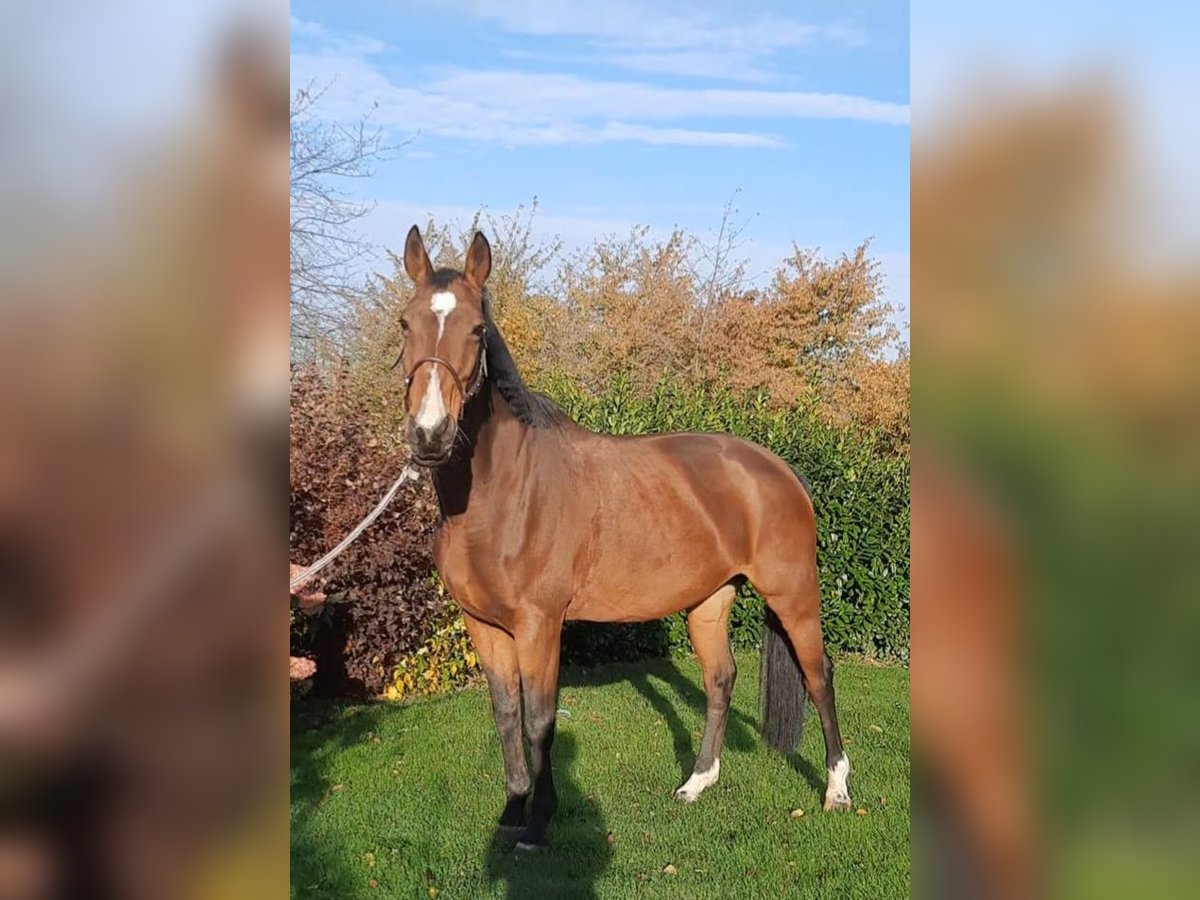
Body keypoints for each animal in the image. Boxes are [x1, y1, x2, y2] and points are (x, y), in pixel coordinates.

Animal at [398, 226, 849, 854]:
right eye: (404, 323)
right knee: (720, 679)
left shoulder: (540, 625)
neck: (502, 492)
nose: (430, 435)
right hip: (709, 601)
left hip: (794, 594)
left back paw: (836, 790)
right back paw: (696, 783)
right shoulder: (484, 626)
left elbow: (540, 719)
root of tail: (778, 468)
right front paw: (512, 810)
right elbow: (505, 713)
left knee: (818, 674)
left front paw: (538, 823)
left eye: (477, 329)